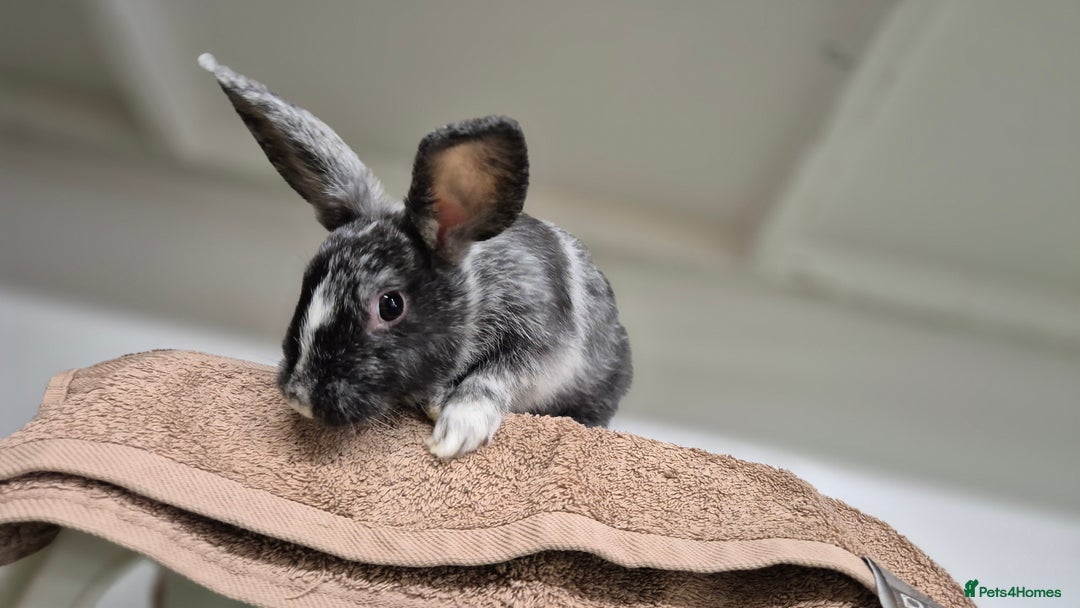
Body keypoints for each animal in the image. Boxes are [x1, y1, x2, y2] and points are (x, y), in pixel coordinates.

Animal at [199, 53, 632, 459]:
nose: (301, 398)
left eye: (390, 305)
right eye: (307, 282)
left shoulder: (541, 344)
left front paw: (456, 429)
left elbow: (494, 378)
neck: (478, 292)